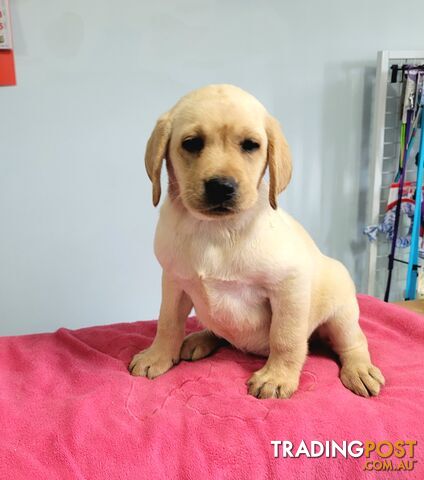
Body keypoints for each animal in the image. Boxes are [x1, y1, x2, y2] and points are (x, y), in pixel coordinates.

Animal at [129, 84, 384, 400]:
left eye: (250, 145)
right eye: (192, 143)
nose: (221, 187)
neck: (215, 230)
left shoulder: (289, 287)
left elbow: (286, 338)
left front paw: (277, 376)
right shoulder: (174, 281)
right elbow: (167, 322)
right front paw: (159, 355)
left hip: (341, 315)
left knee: (354, 342)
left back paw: (360, 369)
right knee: (219, 332)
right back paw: (199, 339)